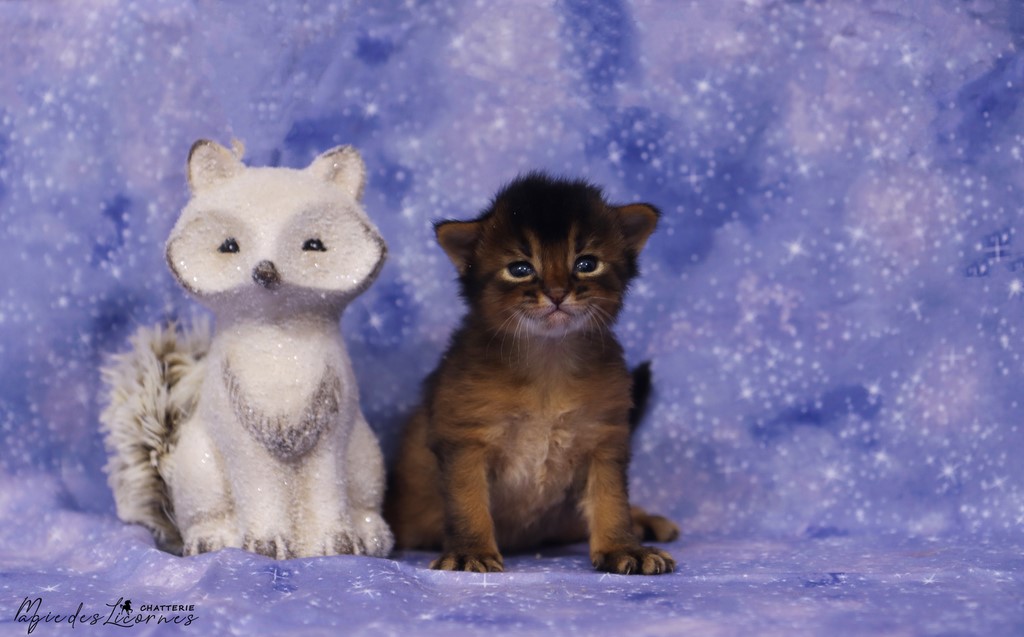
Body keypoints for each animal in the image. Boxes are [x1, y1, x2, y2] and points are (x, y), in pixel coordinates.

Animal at [385, 173, 678, 575]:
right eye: (520, 269)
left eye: (587, 263)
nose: (556, 293)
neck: (547, 363)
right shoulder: (464, 438)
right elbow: (468, 502)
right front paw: (470, 552)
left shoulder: (604, 440)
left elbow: (611, 501)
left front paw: (623, 548)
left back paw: (647, 521)